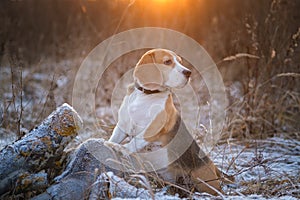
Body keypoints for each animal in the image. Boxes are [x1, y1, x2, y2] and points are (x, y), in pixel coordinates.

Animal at [108, 48, 223, 195]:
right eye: (167, 62)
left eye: (180, 61)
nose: (188, 72)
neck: (146, 95)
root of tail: (214, 167)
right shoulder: (123, 126)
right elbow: (115, 137)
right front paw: (109, 144)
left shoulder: (152, 129)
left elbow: (135, 141)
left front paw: (121, 148)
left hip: (204, 183)